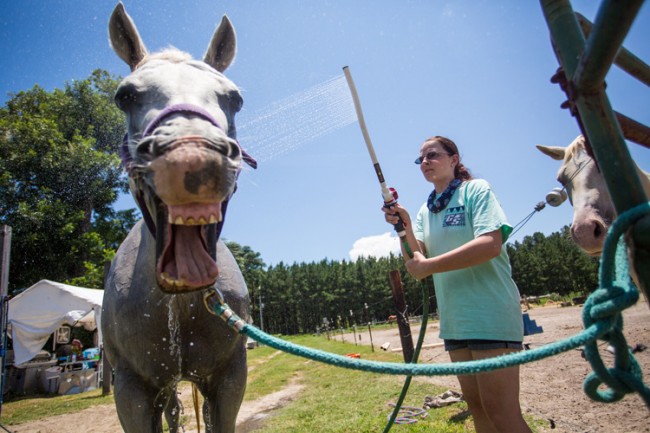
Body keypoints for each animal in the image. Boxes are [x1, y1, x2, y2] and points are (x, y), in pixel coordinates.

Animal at [101, 4, 256, 432]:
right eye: (125, 96)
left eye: (235, 98)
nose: (192, 153)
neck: (180, 304)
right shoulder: (130, 390)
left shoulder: (230, 377)